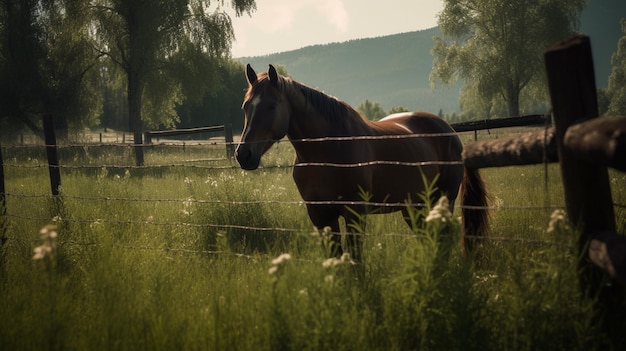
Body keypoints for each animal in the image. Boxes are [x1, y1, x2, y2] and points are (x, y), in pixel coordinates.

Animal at [234, 65, 488, 258]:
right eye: (245, 106)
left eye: (271, 105)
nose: (243, 154)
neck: (328, 151)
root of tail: (449, 130)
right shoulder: (320, 216)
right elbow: (336, 257)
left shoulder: (354, 213)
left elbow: (355, 258)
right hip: (413, 206)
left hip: (443, 199)